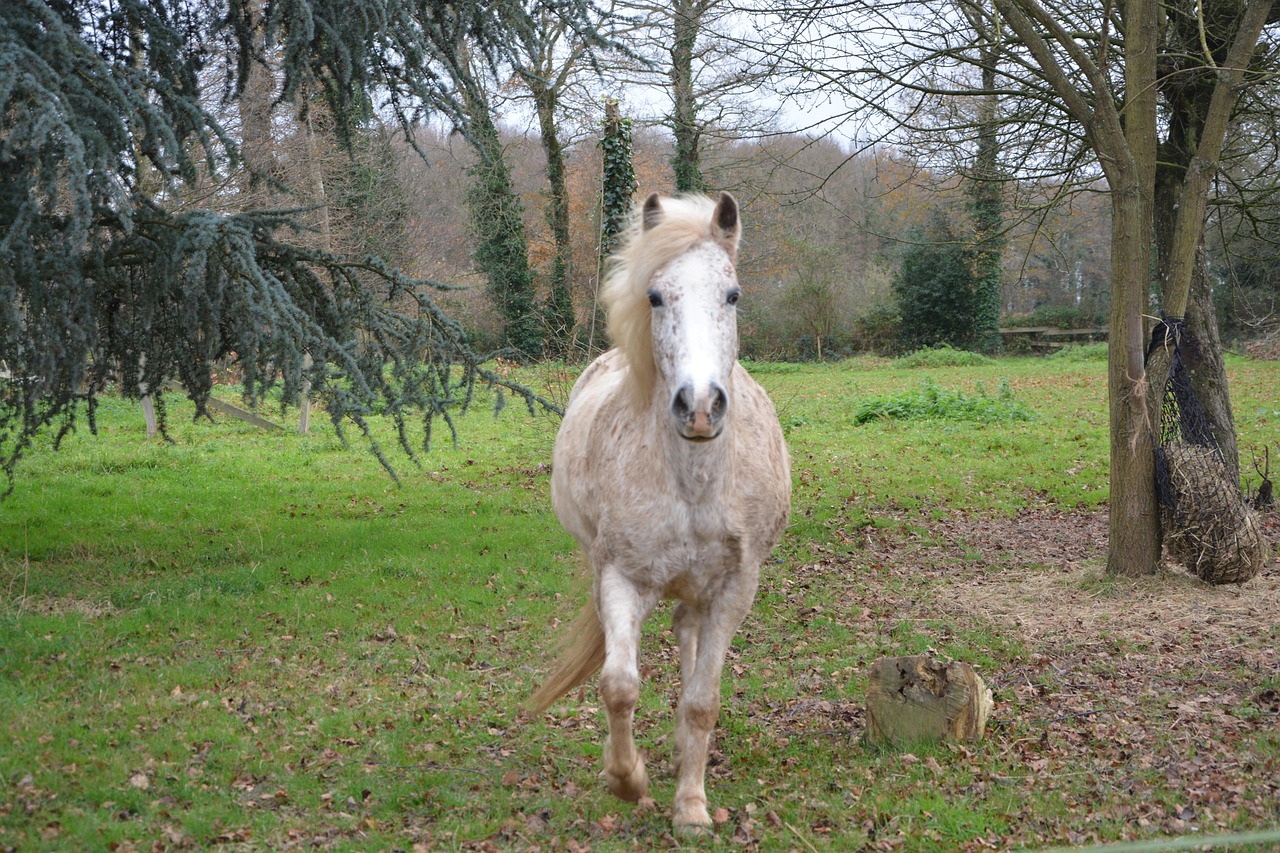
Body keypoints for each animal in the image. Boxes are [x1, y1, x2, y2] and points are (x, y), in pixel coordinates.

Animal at [528, 192, 791, 833]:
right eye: (654, 296)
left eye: (732, 294)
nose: (698, 406)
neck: (692, 483)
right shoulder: (621, 579)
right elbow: (619, 685)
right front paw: (626, 778)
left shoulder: (734, 590)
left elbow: (702, 701)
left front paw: (691, 807)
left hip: (700, 591)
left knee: (689, 644)